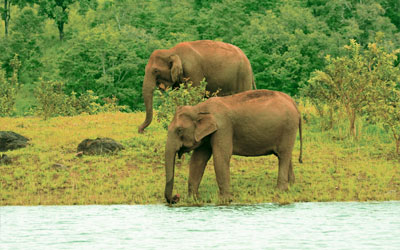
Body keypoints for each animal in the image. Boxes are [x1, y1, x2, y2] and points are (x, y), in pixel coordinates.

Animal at [164, 89, 302, 203]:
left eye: (179, 130)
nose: (176, 197)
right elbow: (197, 160)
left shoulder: (223, 127)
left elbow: (221, 157)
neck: (198, 108)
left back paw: (280, 190)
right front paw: (193, 199)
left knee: (283, 155)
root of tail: (293, 102)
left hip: (289, 127)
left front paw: (225, 200)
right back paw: (291, 185)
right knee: (285, 155)